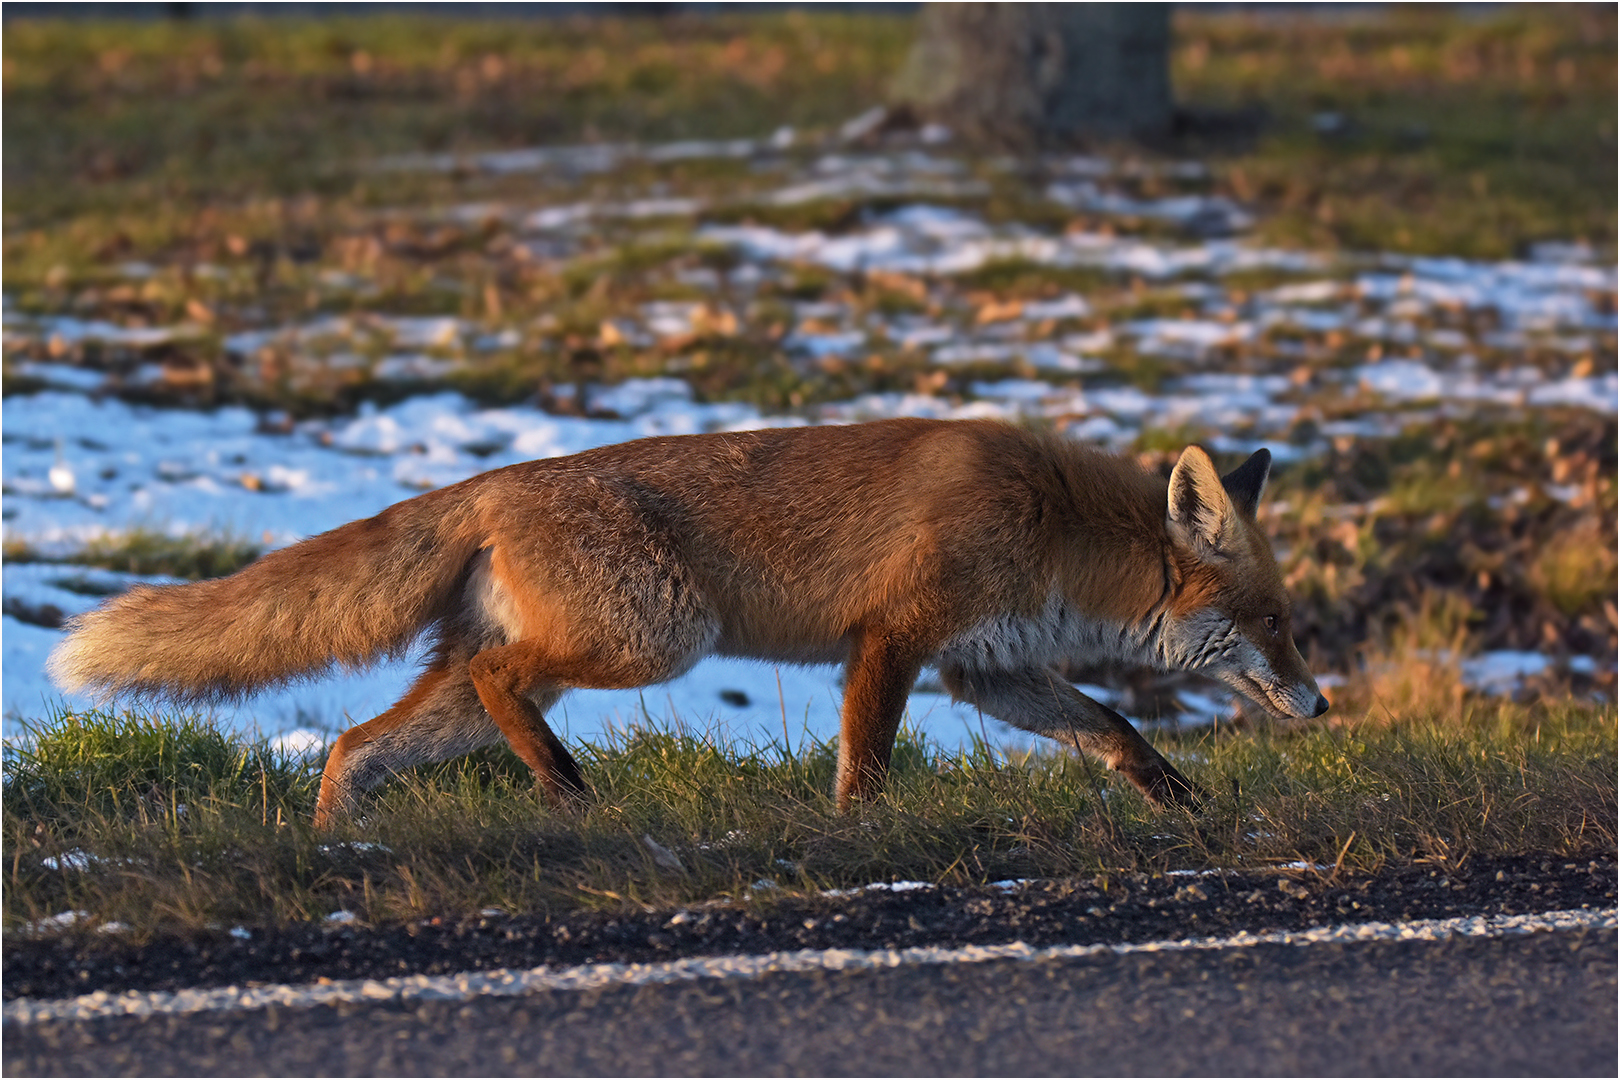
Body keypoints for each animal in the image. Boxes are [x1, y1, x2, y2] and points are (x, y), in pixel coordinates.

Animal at [53, 420, 1328, 829]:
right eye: (1274, 620)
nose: (1321, 704)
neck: (1053, 529)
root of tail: (492, 481)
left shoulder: (988, 671)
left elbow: (1119, 730)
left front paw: (1189, 809)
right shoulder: (894, 640)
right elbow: (866, 766)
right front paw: (857, 846)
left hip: (500, 687)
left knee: (352, 748)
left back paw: (338, 849)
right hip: (657, 635)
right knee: (501, 681)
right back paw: (568, 790)